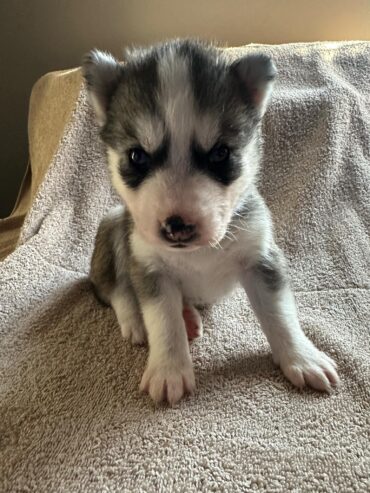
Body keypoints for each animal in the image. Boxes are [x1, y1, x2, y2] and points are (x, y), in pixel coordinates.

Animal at [83, 40, 338, 404]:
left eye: (220, 154)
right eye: (136, 156)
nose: (177, 225)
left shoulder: (260, 256)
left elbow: (280, 314)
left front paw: (302, 357)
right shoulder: (150, 265)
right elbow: (163, 322)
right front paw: (169, 369)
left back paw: (188, 315)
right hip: (115, 224)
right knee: (115, 288)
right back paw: (137, 320)